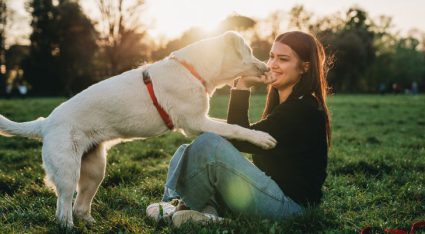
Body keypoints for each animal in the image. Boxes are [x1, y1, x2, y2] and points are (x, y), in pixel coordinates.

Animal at [0, 31, 274, 227]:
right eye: (250, 51)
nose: (267, 67)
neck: (193, 70)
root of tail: (45, 122)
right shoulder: (195, 123)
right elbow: (236, 128)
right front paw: (262, 138)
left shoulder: (201, 120)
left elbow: (231, 126)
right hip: (68, 171)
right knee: (63, 207)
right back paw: (68, 227)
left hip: (95, 170)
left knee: (79, 206)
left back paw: (90, 222)